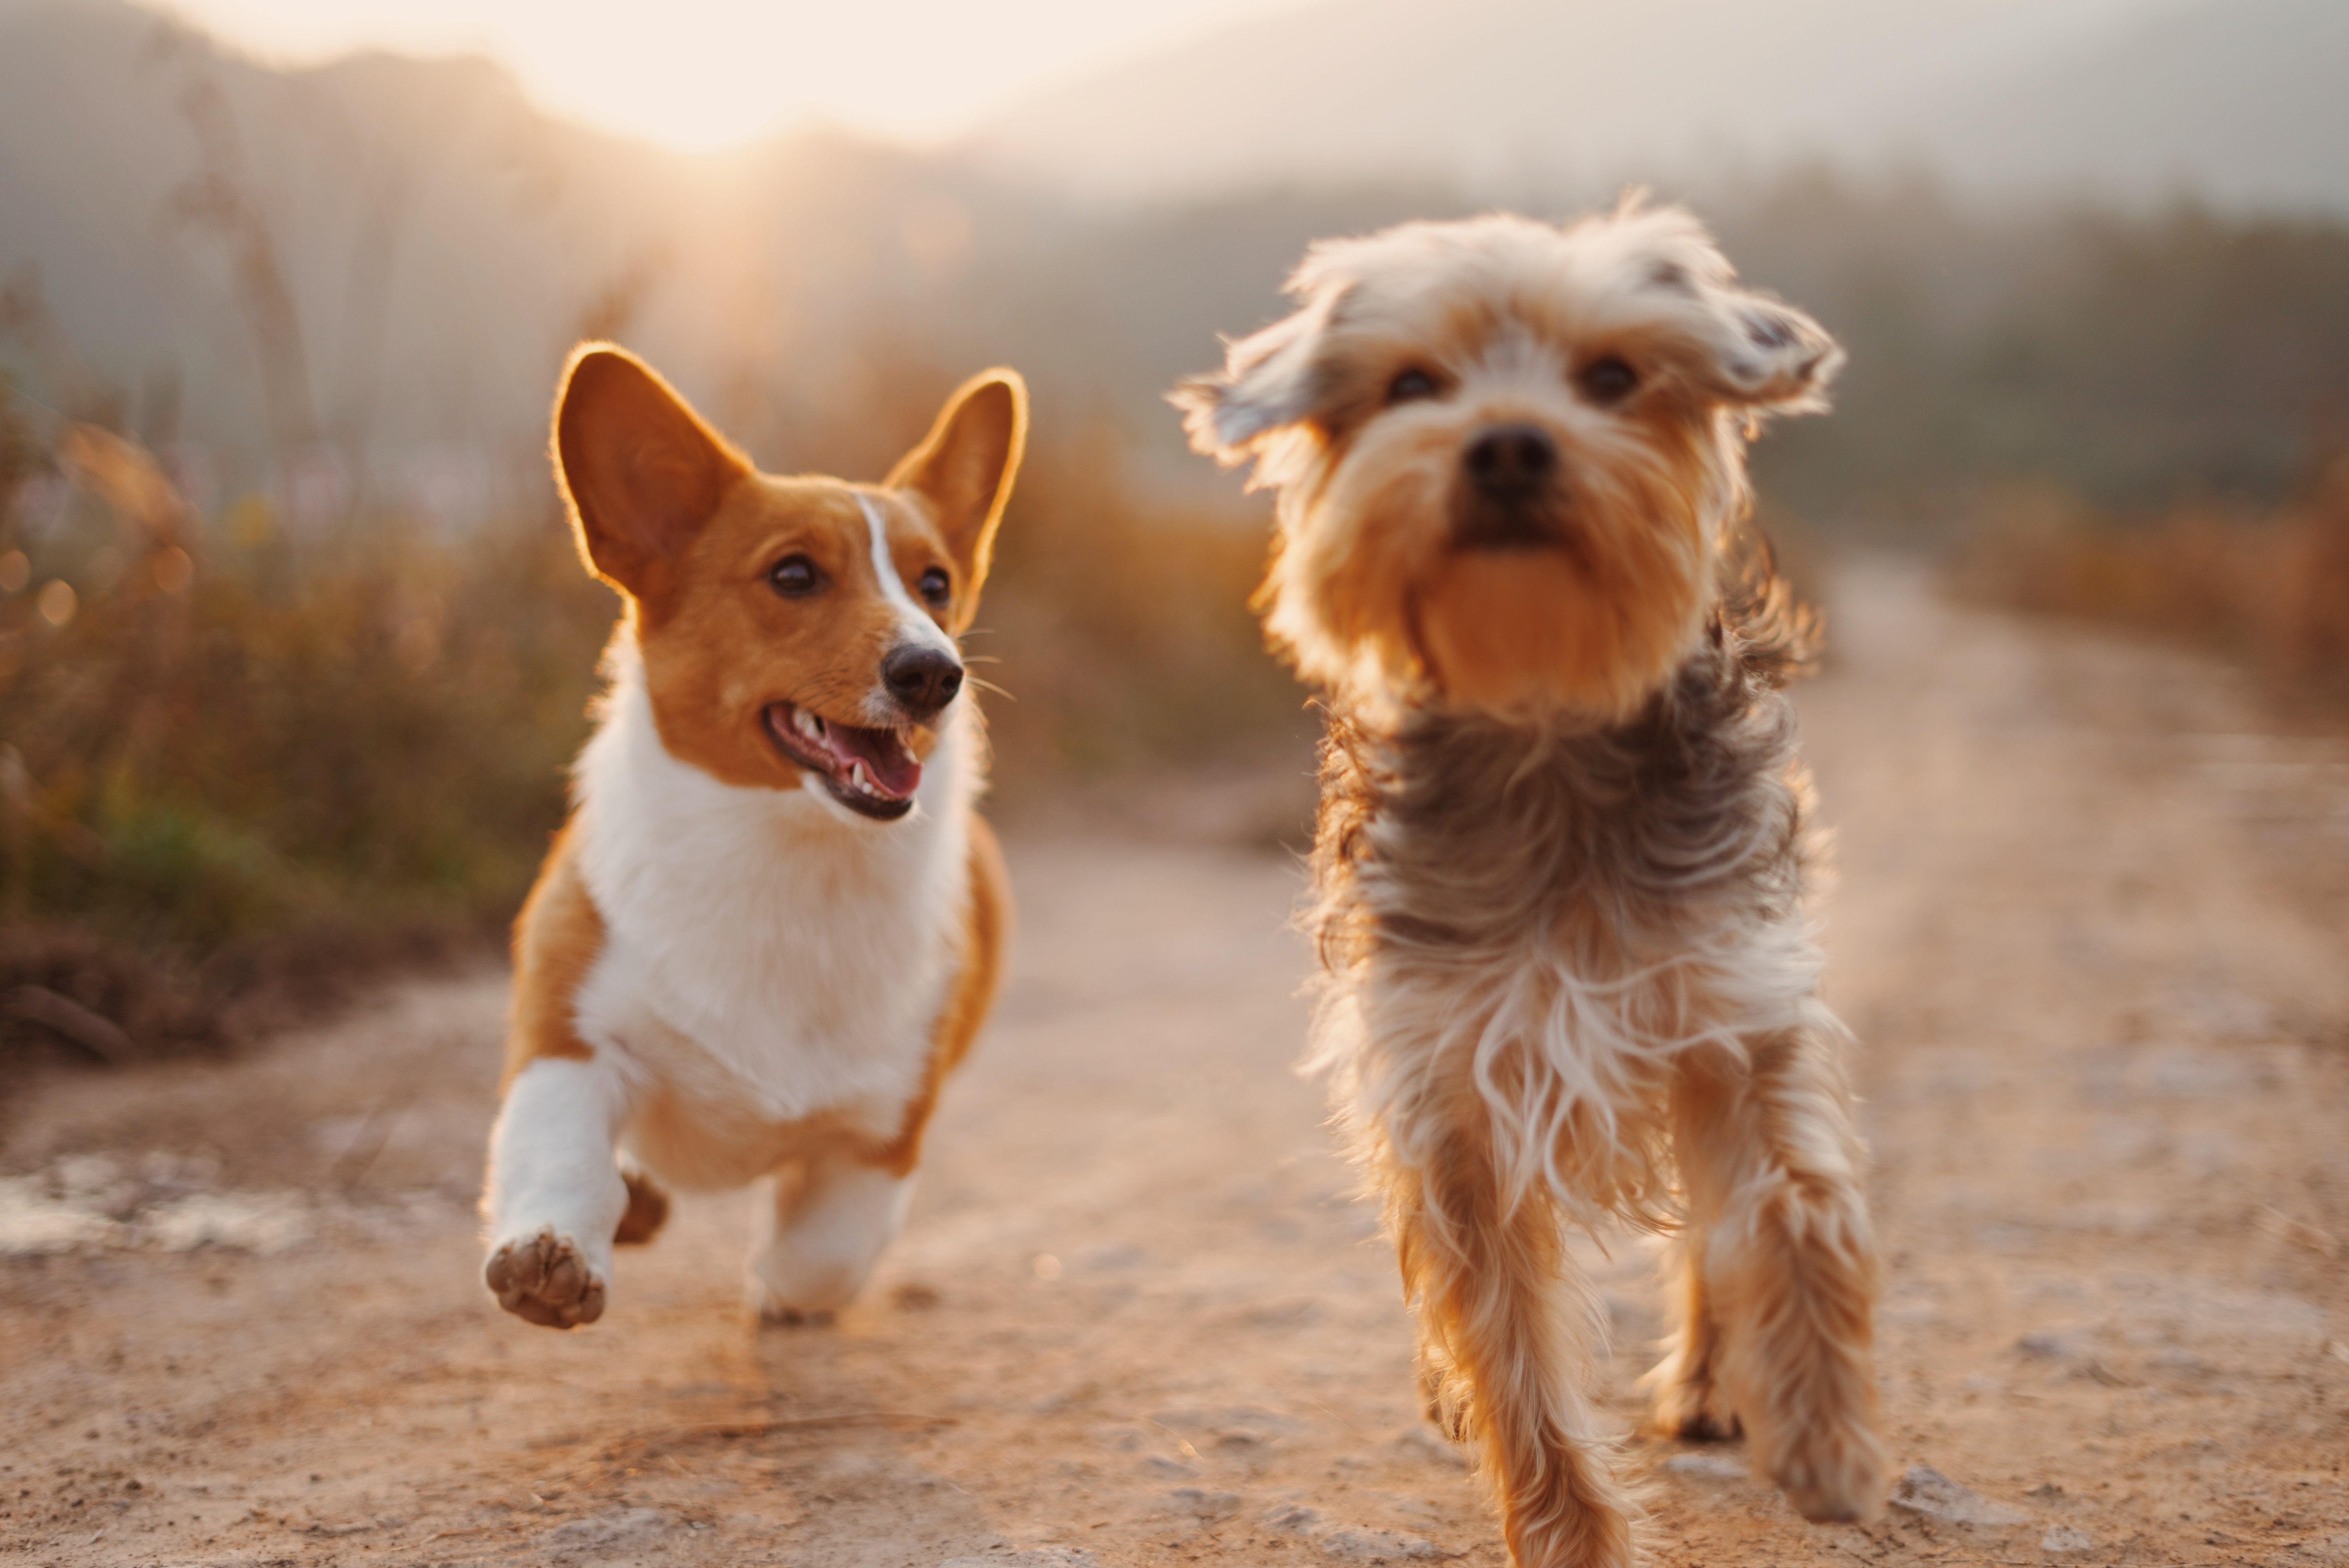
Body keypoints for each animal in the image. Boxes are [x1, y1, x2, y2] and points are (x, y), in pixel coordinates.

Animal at [481, 350, 1024, 1333]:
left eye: (934, 585)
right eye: (794, 575)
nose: (935, 673)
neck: (788, 852)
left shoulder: (883, 1131)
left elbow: (822, 1256)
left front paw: (775, 1288)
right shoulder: (569, 1039)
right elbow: (560, 1154)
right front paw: (551, 1252)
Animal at [1174, 208, 1888, 1568]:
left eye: (1612, 376)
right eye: (1412, 385)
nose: (1507, 442)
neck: (1544, 720)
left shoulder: (1730, 1004)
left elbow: (1794, 1205)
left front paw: (1824, 1426)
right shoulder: (1446, 1082)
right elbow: (1507, 1343)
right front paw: (1569, 1533)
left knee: (1709, 1236)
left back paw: (1714, 1382)